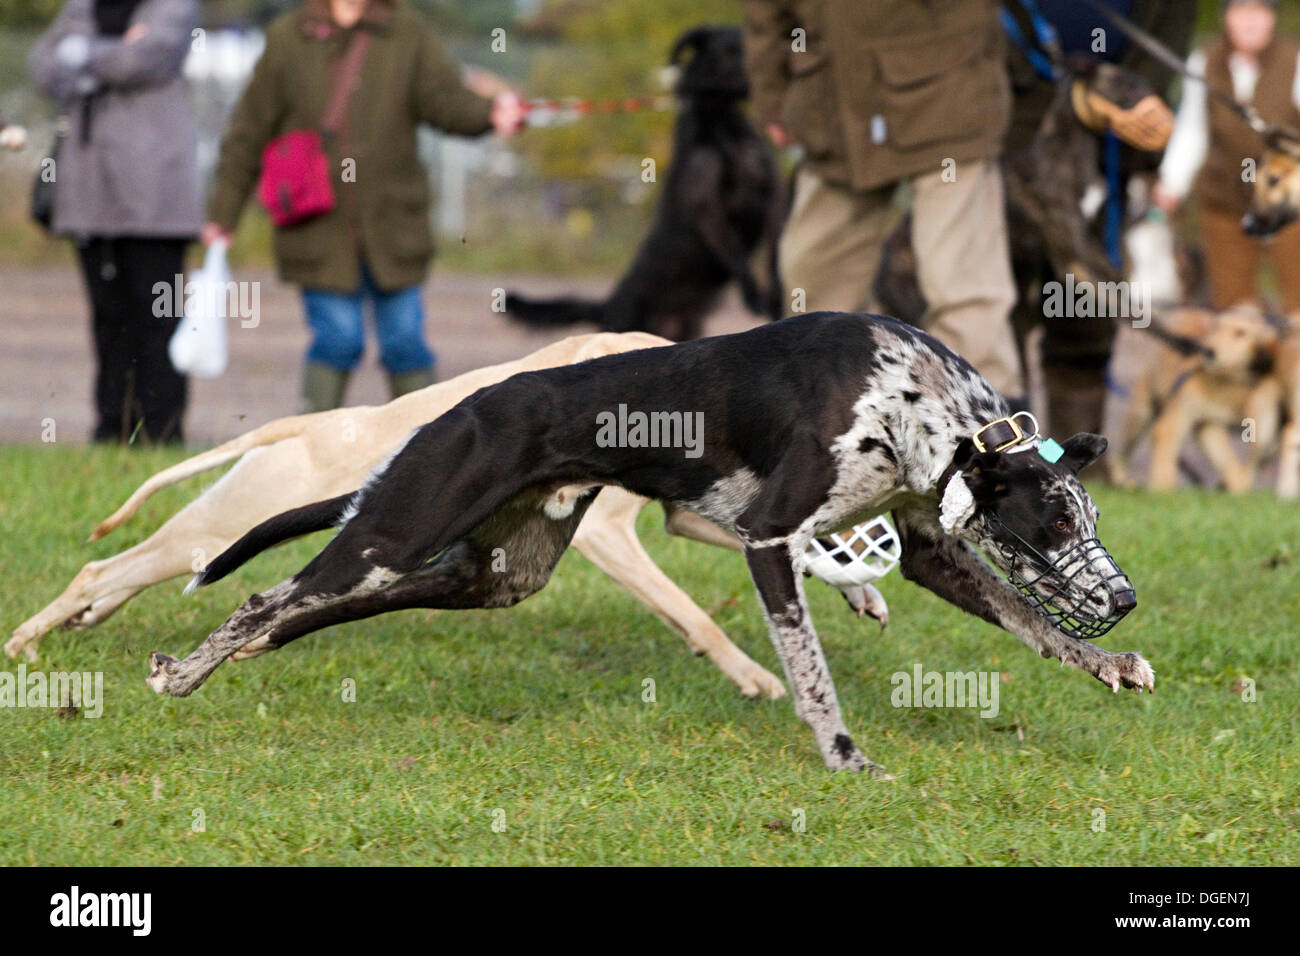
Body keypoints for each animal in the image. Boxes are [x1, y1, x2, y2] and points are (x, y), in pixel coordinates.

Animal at [149, 317, 1149, 775]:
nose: (1125, 600)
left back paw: (241, 654)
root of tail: (460, 408)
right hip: (399, 528)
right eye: (1058, 523)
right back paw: (185, 671)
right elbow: (809, 669)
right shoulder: (770, 539)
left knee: (312, 607)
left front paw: (1110, 663)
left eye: (1091, 518)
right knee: (267, 594)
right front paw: (841, 754)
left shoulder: (931, 549)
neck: (913, 396)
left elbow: (1032, 624)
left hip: (493, 577)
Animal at [1107, 306, 1279, 494]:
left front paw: (1239, 486)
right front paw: (1161, 490)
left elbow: (1245, 454)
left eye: (1241, 333)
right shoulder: (1180, 415)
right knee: (1123, 451)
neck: (1229, 381)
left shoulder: (1220, 421)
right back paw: (1122, 479)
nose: (1209, 351)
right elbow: (1165, 454)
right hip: (1142, 410)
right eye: (1216, 327)